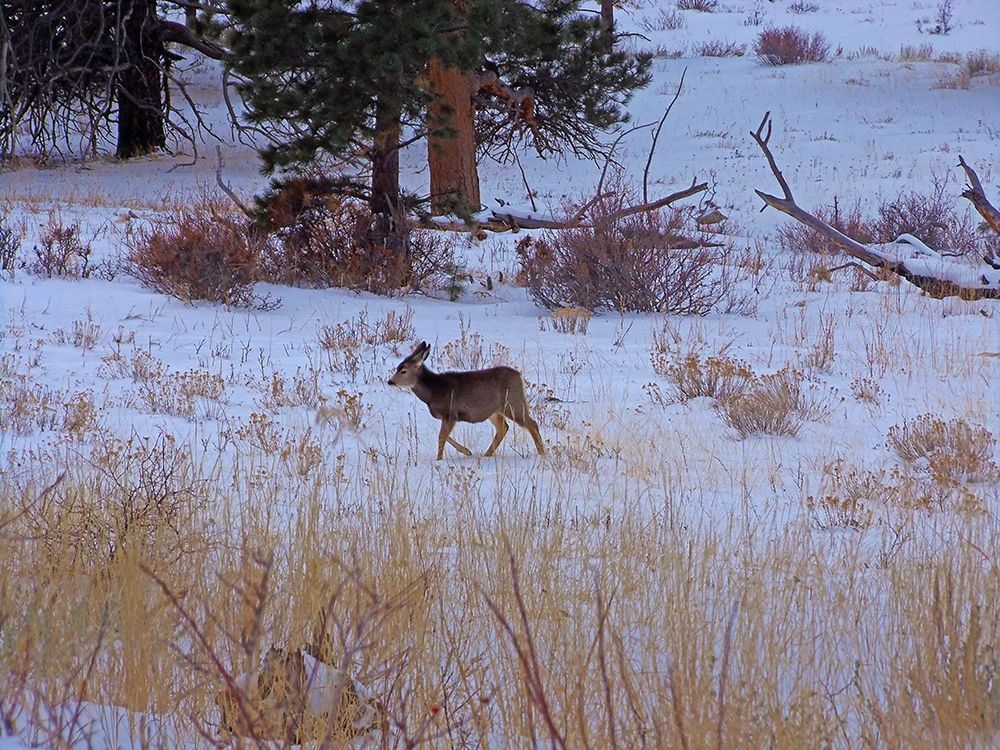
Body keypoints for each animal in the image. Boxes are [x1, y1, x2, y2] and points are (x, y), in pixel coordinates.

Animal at [388, 341, 546, 460]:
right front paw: (467, 451)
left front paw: (439, 459)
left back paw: (542, 453)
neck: (433, 392)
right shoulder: (447, 417)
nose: (390, 381)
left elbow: (441, 437)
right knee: (503, 428)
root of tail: (519, 376)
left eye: (403, 371)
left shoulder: (450, 413)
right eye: (398, 368)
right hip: (494, 411)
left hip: (513, 403)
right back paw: (486, 455)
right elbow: (445, 436)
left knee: (532, 424)